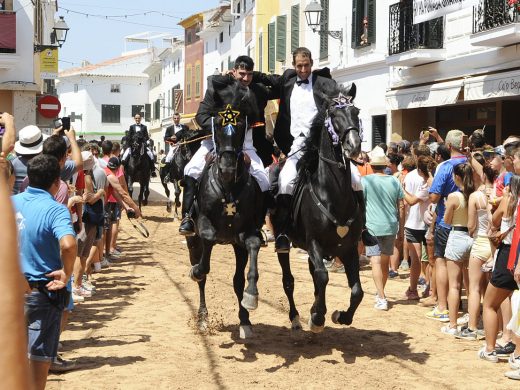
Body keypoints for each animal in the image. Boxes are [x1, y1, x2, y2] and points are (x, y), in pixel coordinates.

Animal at [186, 84, 264, 338]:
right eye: (218, 125)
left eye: (239, 127)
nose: (228, 168)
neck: (228, 187)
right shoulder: (203, 226)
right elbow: (205, 259)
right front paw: (197, 271)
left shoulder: (244, 236)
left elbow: (250, 255)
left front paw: (249, 302)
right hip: (192, 241)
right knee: (201, 276)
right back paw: (202, 317)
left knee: (236, 279)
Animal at [274, 84, 364, 334]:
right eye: (333, 115)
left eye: (356, 112)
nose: (353, 146)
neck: (333, 194)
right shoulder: (314, 242)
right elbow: (323, 276)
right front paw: (317, 317)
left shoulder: (349, 248)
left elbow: (357, 291)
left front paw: (341, 316)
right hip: (285, 244)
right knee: (289, 281)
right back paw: (296, 317)